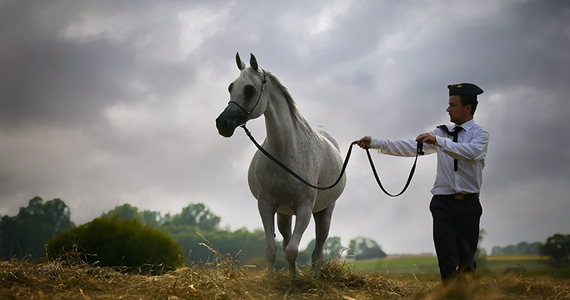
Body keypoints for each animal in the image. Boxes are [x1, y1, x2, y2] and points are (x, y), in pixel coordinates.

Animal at [214, 53, 344, 274]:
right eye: (231, 87)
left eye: (250, 89)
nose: (222, 123)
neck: (285, 153)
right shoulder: (266, 205)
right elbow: (272, 250)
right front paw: (274, 276)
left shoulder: (304, 209)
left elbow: (293, 250)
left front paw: (296, 277)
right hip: (284, 214)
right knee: (286, 240)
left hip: (324, 212)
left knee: (317, 249)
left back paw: (314, 274)